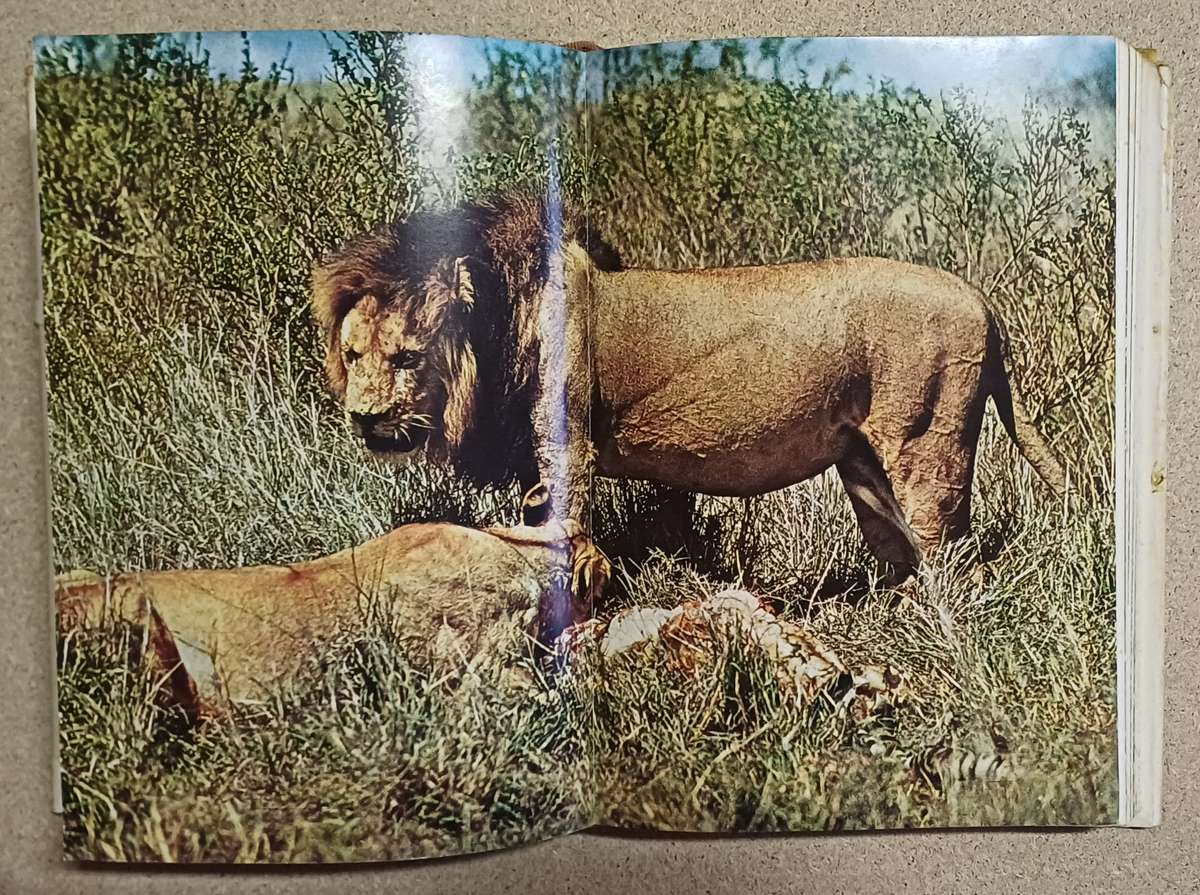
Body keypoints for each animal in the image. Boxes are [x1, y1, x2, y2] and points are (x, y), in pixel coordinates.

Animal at [312, 193, 1067, 573]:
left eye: (407, 358)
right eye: (351, 354)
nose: (363, 418)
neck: (504, 325)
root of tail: (983, 301)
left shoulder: (569, 448)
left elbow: (566, 525)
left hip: (927, 443)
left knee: (946, 545)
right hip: (861, 458)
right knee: (895, 543)